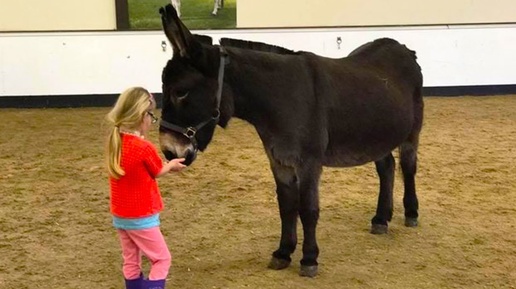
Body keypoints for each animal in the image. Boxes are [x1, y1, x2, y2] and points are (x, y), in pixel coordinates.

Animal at [157, 3, 424, 276]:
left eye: (181, 92)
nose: (168, 151)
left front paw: (309, 259)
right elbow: (286, 206)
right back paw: (381, 219)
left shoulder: (309, 163)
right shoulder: (279, 160)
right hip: (378, 133)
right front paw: (283, 252)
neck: (280, 98)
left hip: (411, 132)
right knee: (387, 167)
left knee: (408, 167)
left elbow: (308, 208)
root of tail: (399, 46)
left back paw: (411, 213)